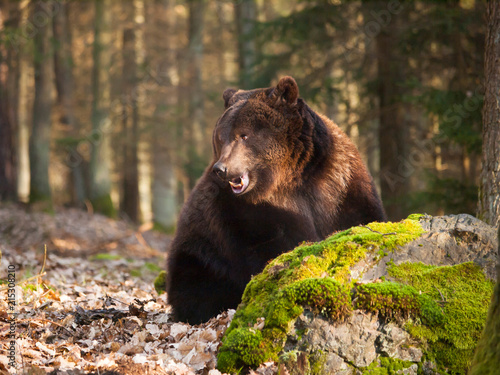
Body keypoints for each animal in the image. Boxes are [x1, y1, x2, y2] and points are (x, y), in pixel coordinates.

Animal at [166, 77, 384, 326]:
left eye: (244, 135)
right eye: (221, 137)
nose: (222, 169)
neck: (288, 178)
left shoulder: (339, 182)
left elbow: (360, 215)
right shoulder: (244, 212)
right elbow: (269, 244)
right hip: (199, 254)